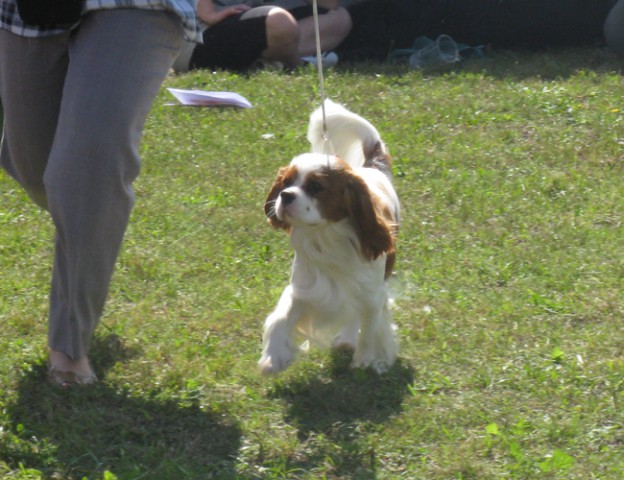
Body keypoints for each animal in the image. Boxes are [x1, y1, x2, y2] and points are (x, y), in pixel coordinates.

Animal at [258, 99, 400, 374]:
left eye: (316, 187)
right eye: (285, 184)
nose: (285, 196)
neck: (325, 235)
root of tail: (372, 168)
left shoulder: (371, 293)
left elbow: (368, 328)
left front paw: (363, 360)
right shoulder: (305, 289)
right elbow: (281, 317)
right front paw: (272, 357)